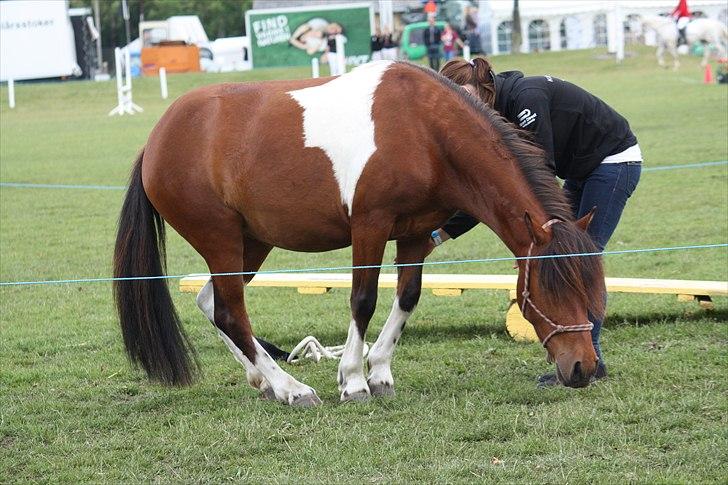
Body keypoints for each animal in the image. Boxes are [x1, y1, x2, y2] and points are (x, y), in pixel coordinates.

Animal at [112, 62, 604, 406]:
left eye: (589, 287)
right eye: (549, 289)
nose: (582, 366)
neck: (424, 130)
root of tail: (155, 142)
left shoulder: (415, 233)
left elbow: (407, 296)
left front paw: (380, 371)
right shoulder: (370, 225)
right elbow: (363, 300)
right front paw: (352, 380)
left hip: (253, 243)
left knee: (212, 303)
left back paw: (263, 380)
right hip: (222, 241)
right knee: (231, 312)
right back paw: (291, 389)